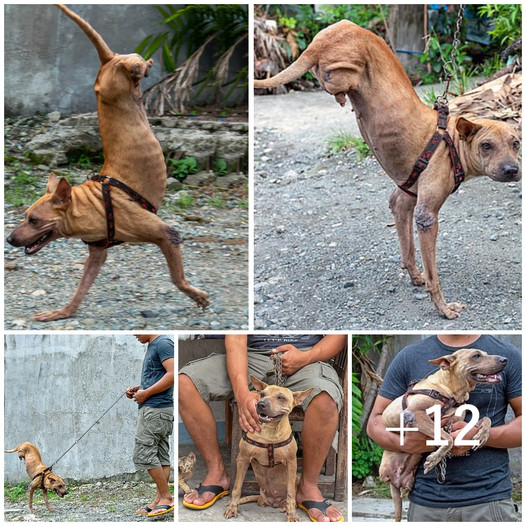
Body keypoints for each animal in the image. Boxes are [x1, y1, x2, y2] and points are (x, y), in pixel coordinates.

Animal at [5, 5, 210, 322]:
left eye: (34, 220)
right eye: (25, 216)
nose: (10, 240)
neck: (91, 206)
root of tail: (108, 60)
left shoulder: (167, 234)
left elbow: (177, 278)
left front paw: (197, 295)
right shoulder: (97, 253)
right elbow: (80, 290)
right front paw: (62, 312)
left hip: (124, 71)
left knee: (136, 63)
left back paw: (146, 64)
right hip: (114, 81)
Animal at [256, 19, 524, 322]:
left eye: (515, 143)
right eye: (486, 146)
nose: (512, 170)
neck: (452, 143)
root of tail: (324, 39)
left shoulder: (403, 201)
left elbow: (407, 250)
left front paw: (416, 276)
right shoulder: (426, 216)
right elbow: (434, 276)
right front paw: (442, 307)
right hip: (349, 68)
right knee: (330, 79)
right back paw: (339, 95)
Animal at [382, 350, 510, 524]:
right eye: (476, 355)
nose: (505, 359)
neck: (449, 390)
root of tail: (395, 481)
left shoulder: (456, 421)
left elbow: (485, 419)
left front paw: (482, 434)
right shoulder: (415, 414)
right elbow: (448, 439)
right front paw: (434, 459)